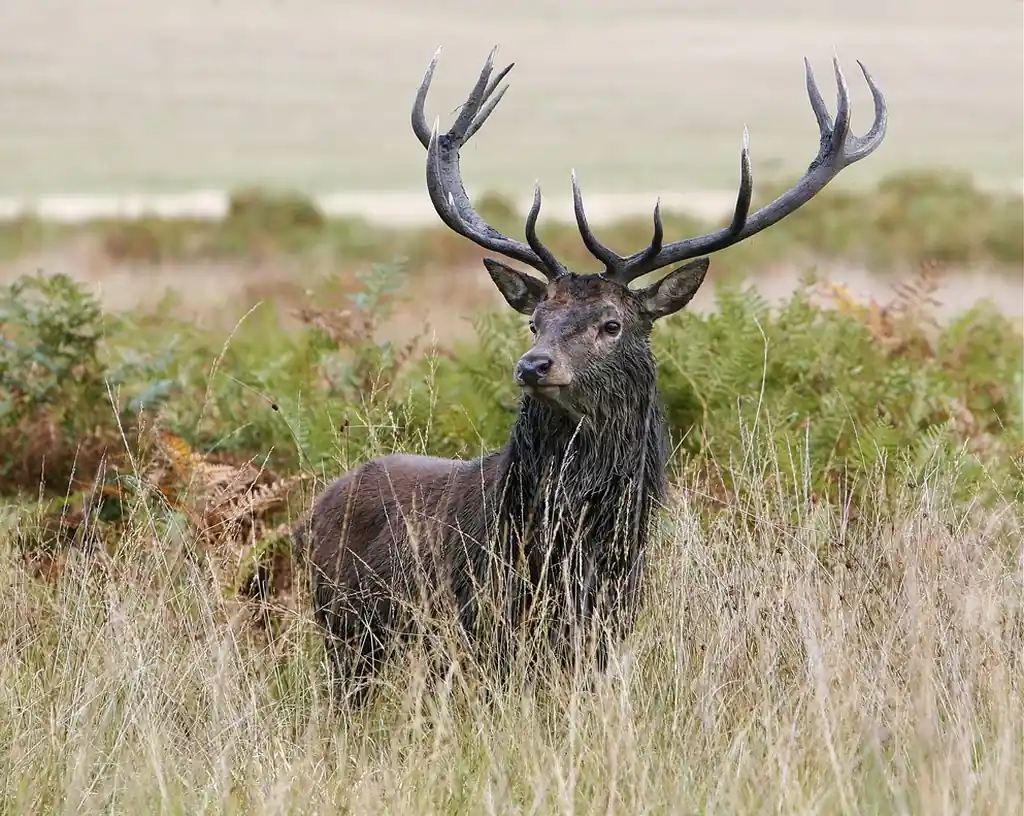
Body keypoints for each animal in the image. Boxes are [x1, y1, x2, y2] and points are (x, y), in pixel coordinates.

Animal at [296, 47, 887, 701]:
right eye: (535, 322)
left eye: (612, 323)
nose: (533, 365)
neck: (574, 544)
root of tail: (317, 506)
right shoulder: (487, 625)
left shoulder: (606, 625)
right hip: (347, 633)